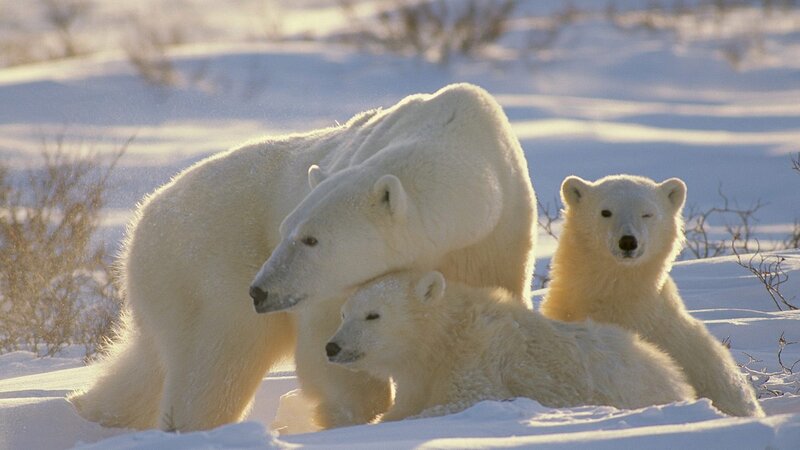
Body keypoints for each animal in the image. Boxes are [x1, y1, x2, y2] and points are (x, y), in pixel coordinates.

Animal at [68, 83, 537, 431]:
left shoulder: (497, 238)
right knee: (219, 358)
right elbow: (327, 341)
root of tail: (143, 216)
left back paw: (89, 409)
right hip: (206, 263)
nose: (260, 291)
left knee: (148, 362)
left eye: (310, 239)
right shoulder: (330, 288)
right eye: (286, 230)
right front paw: (352, 414)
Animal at [325, 270, 696, 421]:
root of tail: (676, 376)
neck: (445, 336)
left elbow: (467, 399)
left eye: (373, 315)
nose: (332, 347)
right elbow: (404, 405)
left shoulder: (479, 358)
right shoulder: (418, 376)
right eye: (343, 313)